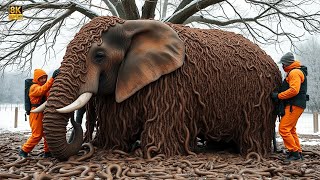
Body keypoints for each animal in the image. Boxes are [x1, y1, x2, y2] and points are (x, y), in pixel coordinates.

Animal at [41, 15, 282, 160]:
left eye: (99, 56)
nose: (85, 146)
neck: (130, 25)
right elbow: (116, 124)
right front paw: (111, 148)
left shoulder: (171, 86)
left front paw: (150, 152)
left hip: (259, 100)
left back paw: (251, 154)